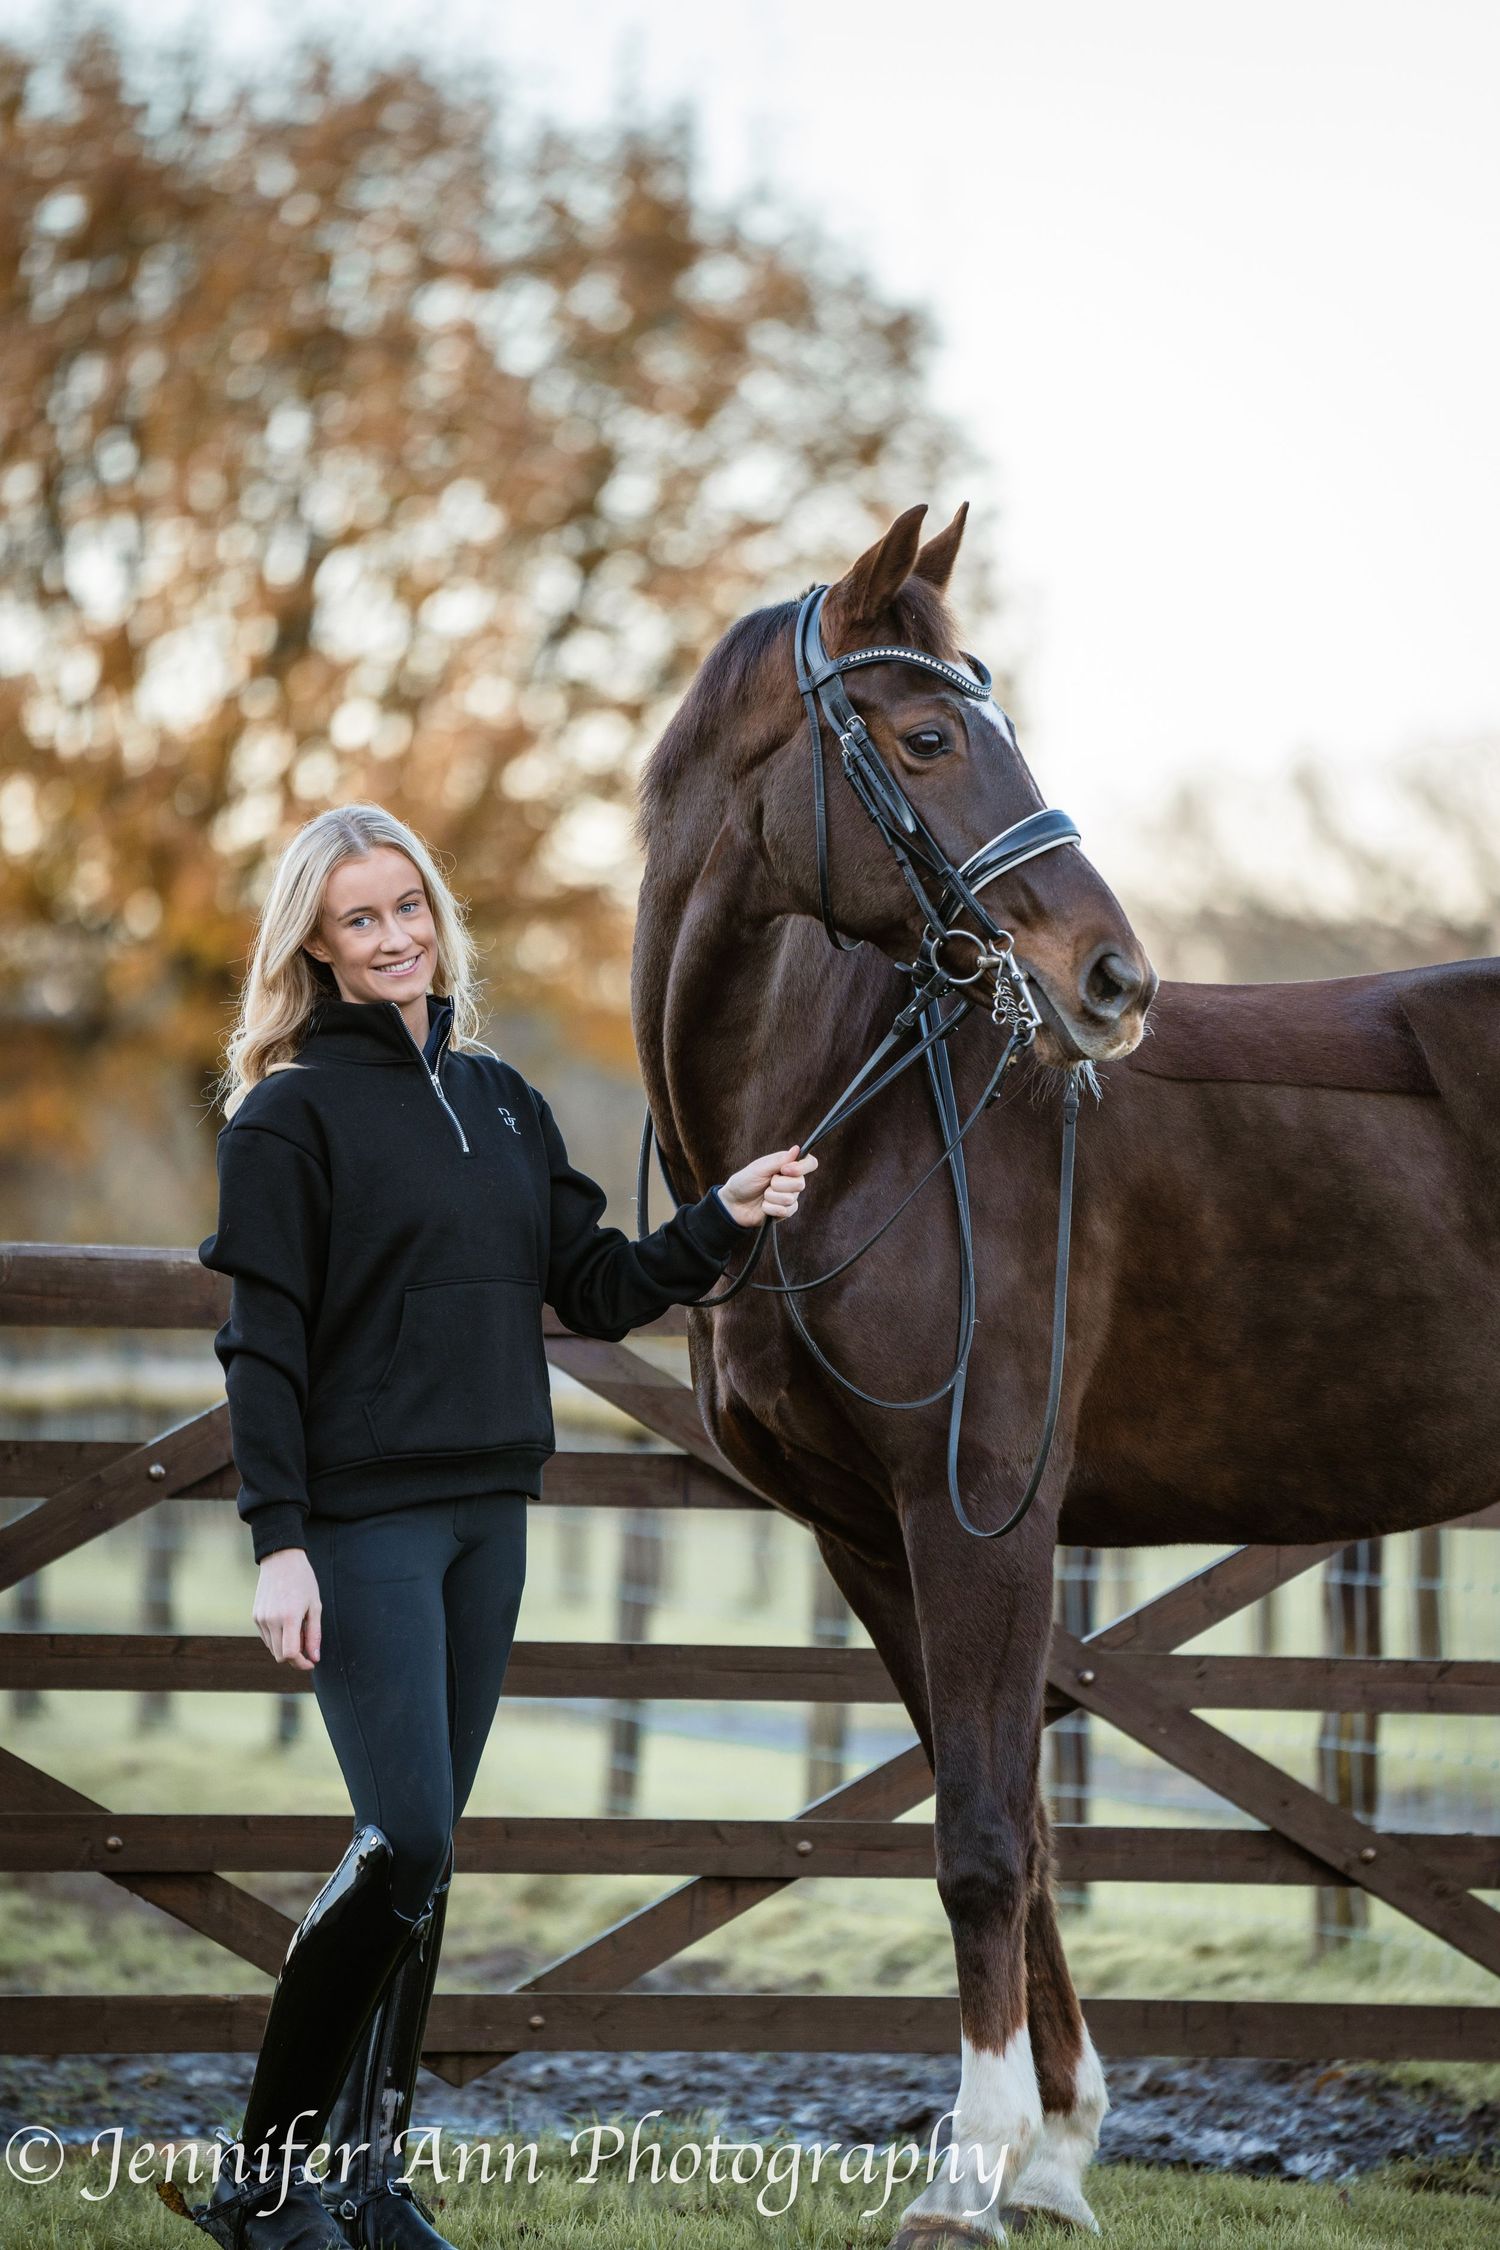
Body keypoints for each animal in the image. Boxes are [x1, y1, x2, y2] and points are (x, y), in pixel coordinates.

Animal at [631, 501, 1499, 2242]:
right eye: (927, 735)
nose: (1114, 979)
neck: (863, 1115)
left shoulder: (981, 1515)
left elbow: (981, 1836)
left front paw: (969, 2174)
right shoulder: (872, 1534)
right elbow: (1022, 1828)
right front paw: (1054, 2152)